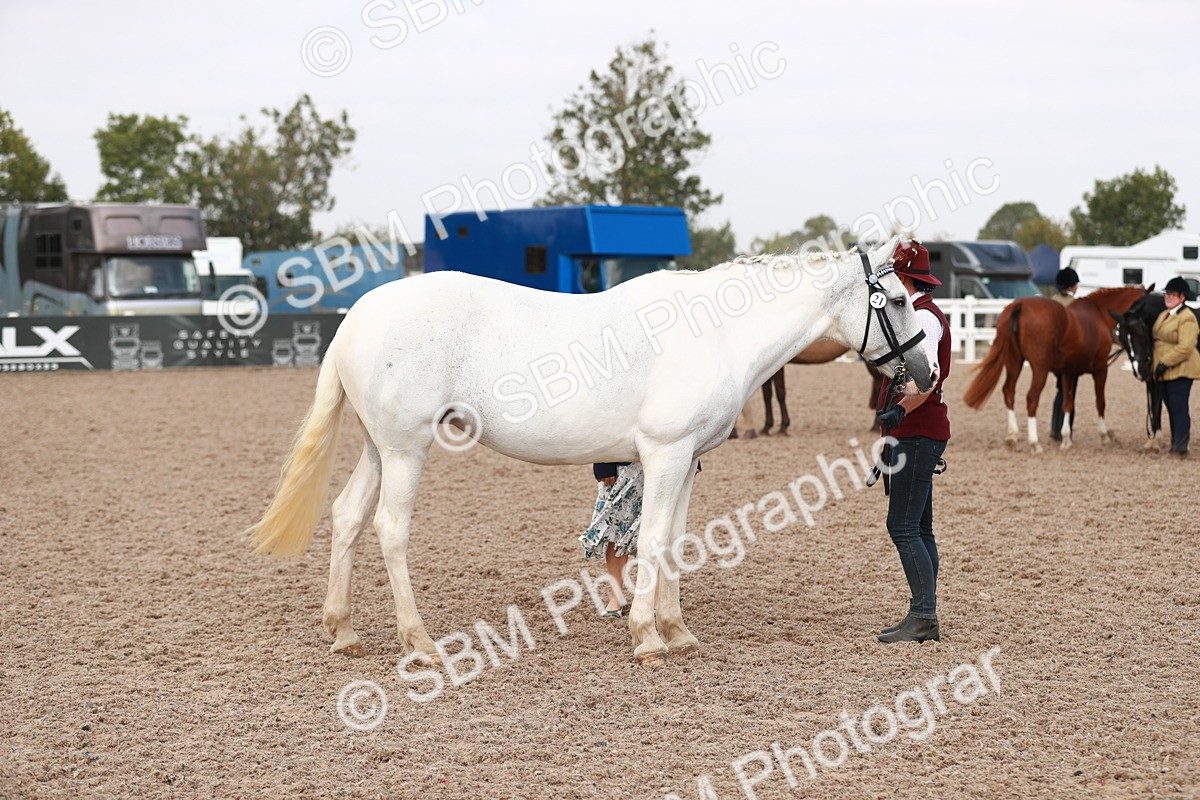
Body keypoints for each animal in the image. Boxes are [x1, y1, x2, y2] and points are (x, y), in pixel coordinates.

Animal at [245, 235, 935, 666]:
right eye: (900, 300)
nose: (926, 375)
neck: (716, 330)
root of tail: (356, 316)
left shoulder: (687, 460)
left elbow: (675, 541)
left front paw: (678, 631)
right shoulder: (664, 454)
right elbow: (652, 540)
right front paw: (647, 638)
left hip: (377, 448)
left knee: (346, 518)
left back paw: (344, 633)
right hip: (406, 449)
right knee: (389, 528)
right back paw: (420, 643)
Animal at [963, 286, 1145, 452]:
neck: (1098, 314)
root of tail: (1020, 305)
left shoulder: (1068, 372)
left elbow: (1067, 402)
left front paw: (1066, 439)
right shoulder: (1100, 370)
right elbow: (1100, 402)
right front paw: (1104, 436)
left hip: (1014, 362)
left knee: (1009, 391)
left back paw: (1012, 436)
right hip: (1039, 368)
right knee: (1032, 398)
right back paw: (1034, 443)